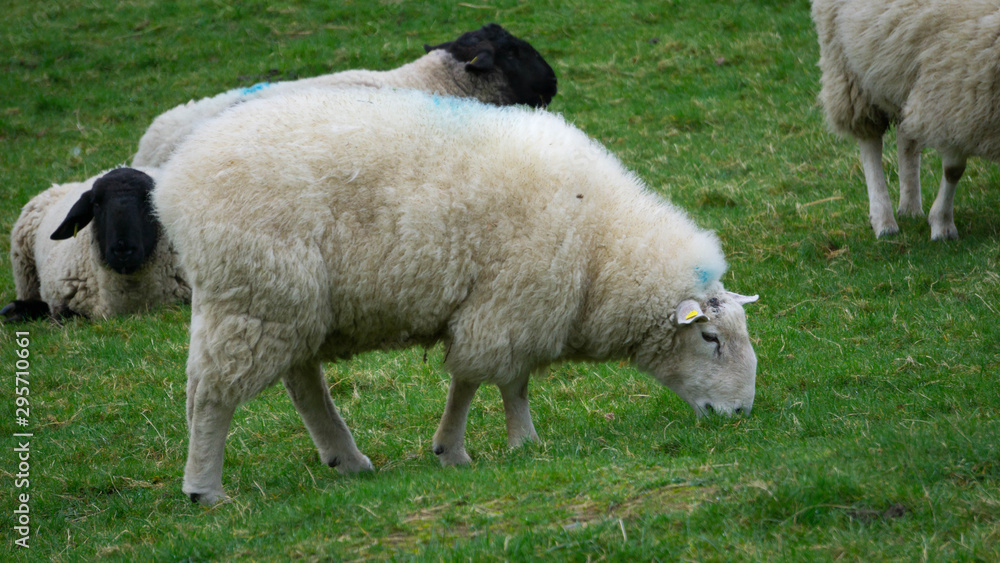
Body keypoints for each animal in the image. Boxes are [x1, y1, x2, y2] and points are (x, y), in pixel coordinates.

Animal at [153, 88, 760, 505]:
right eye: (710, 338)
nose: (741, 414)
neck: (602, 249)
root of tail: (176, 183)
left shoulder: (513, 309)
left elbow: (503, 381)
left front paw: (507, 444)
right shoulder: (510, 301)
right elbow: (486, 380)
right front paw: (478, 447)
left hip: (289, 302)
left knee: (300, 381)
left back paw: (345, 458)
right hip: (258, 292)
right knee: (213, 394)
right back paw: (205, 489)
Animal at [812, 0, 1000, 240]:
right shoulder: (954, 92)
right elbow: (954, 169)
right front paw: (942, 225)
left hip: (907, 74)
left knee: (906, 139)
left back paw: (910, 208)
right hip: (847, 66)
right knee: (870, 142)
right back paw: (884, 221)